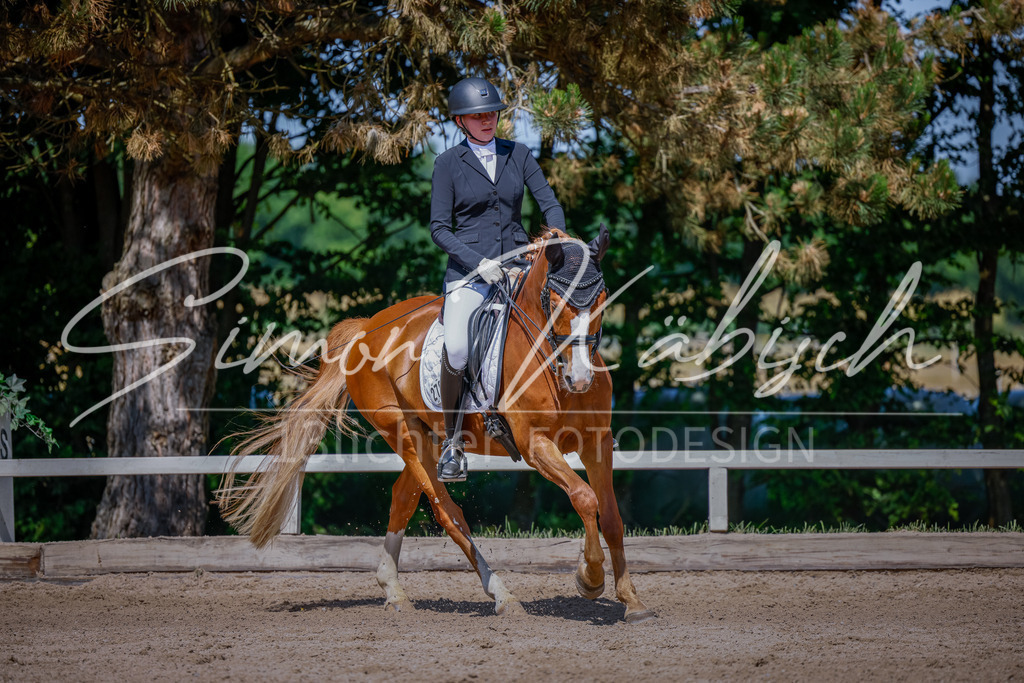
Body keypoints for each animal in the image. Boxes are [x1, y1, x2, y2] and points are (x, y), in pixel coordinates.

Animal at [216, 226, 655, 623]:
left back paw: (393, 590)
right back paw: (502, 595)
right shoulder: (535, 445)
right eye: (557, 302)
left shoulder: (596, 442)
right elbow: (584, 497)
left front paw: (632, 601)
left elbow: (611, 517)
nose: (579, 379)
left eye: (602, 299)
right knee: (446, 511)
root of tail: (367, 328)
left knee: (403, 497)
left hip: (429, 438)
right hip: (403, 432)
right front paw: (590, 578)